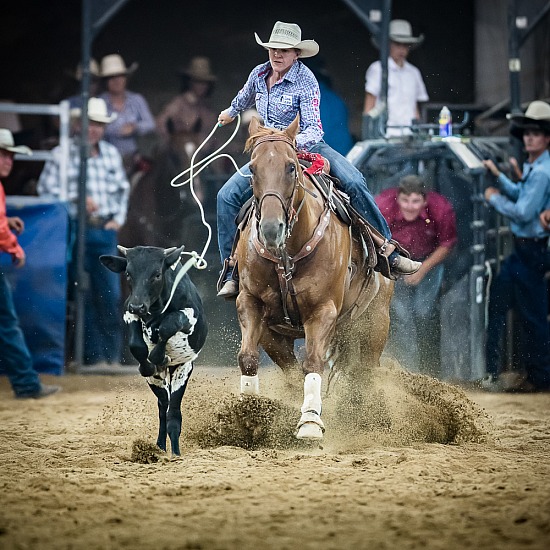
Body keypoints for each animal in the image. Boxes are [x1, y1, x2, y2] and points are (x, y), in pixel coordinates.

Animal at [100, 246, 208, 458]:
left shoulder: (189, 316)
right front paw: (148, 363)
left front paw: (161, 354)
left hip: (182, 371)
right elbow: (137, 345)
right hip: (157, 382)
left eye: (157, 274)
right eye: (128, 273)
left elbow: (168, 325)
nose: (138, 305)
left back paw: (175, 452)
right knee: (163, 408)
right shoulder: (128, 311)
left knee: (173, 413)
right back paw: (159, 447)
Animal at [235, 114, 394, 442]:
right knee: (292, 371)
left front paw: (309, 421)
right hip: (277, 335)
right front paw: (246, 414)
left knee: (364, 375)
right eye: (252, 169)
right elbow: (248, 357)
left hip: (374, 325)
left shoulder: (323, 311)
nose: (271, 229)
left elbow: (313, 362)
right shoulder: (250, 302)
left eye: (291, 167)